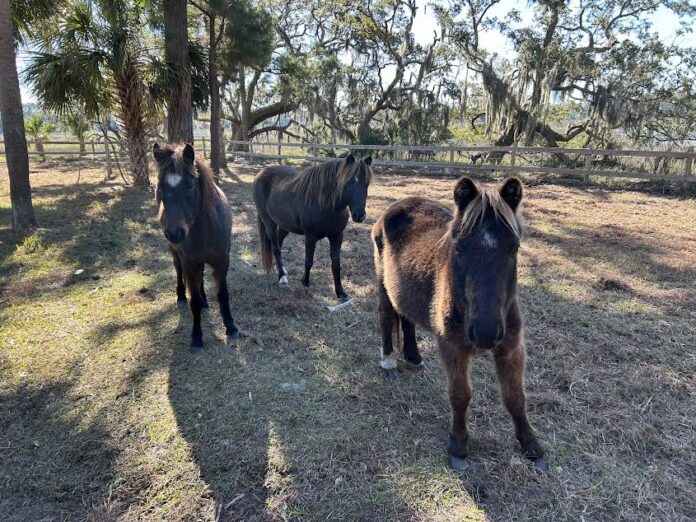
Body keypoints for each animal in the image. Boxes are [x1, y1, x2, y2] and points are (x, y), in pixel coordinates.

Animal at [152, 142, 239, 352]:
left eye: (190, 184)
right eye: (160, 186)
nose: (175, 233)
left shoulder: (222, 262)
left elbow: (223, 295)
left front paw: (231, 327)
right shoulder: (189, 263)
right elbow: (194, 303)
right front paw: (197, 337)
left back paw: (205, 299)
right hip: (177, 254)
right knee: (179, 271)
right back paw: (181, 295)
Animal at [253, 153, 372, 296]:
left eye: (367, 183)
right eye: (349, 182)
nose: (359, 215)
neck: (326, 205)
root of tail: (261, 174)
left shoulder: (337, 236)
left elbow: (336, 265)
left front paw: (340, 291)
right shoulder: (310, 237)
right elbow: (308, 261)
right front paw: (305, 283)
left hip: (284, 226)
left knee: (278, 245)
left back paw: (282, 271)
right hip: (268, 222)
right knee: (276, 248)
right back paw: (282, 277)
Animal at [372, 177, 548, 470]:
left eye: (514, 247)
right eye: (459, 248)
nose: (486, 333)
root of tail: (397, 205)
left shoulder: (512, 348)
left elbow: (515, 396)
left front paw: (531, 444)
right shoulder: (453, 348)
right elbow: (460, 395)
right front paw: (458, 445)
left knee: (407, 318)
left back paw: (414, 357)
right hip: (383, 283)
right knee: (387, 316)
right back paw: (388, 362)